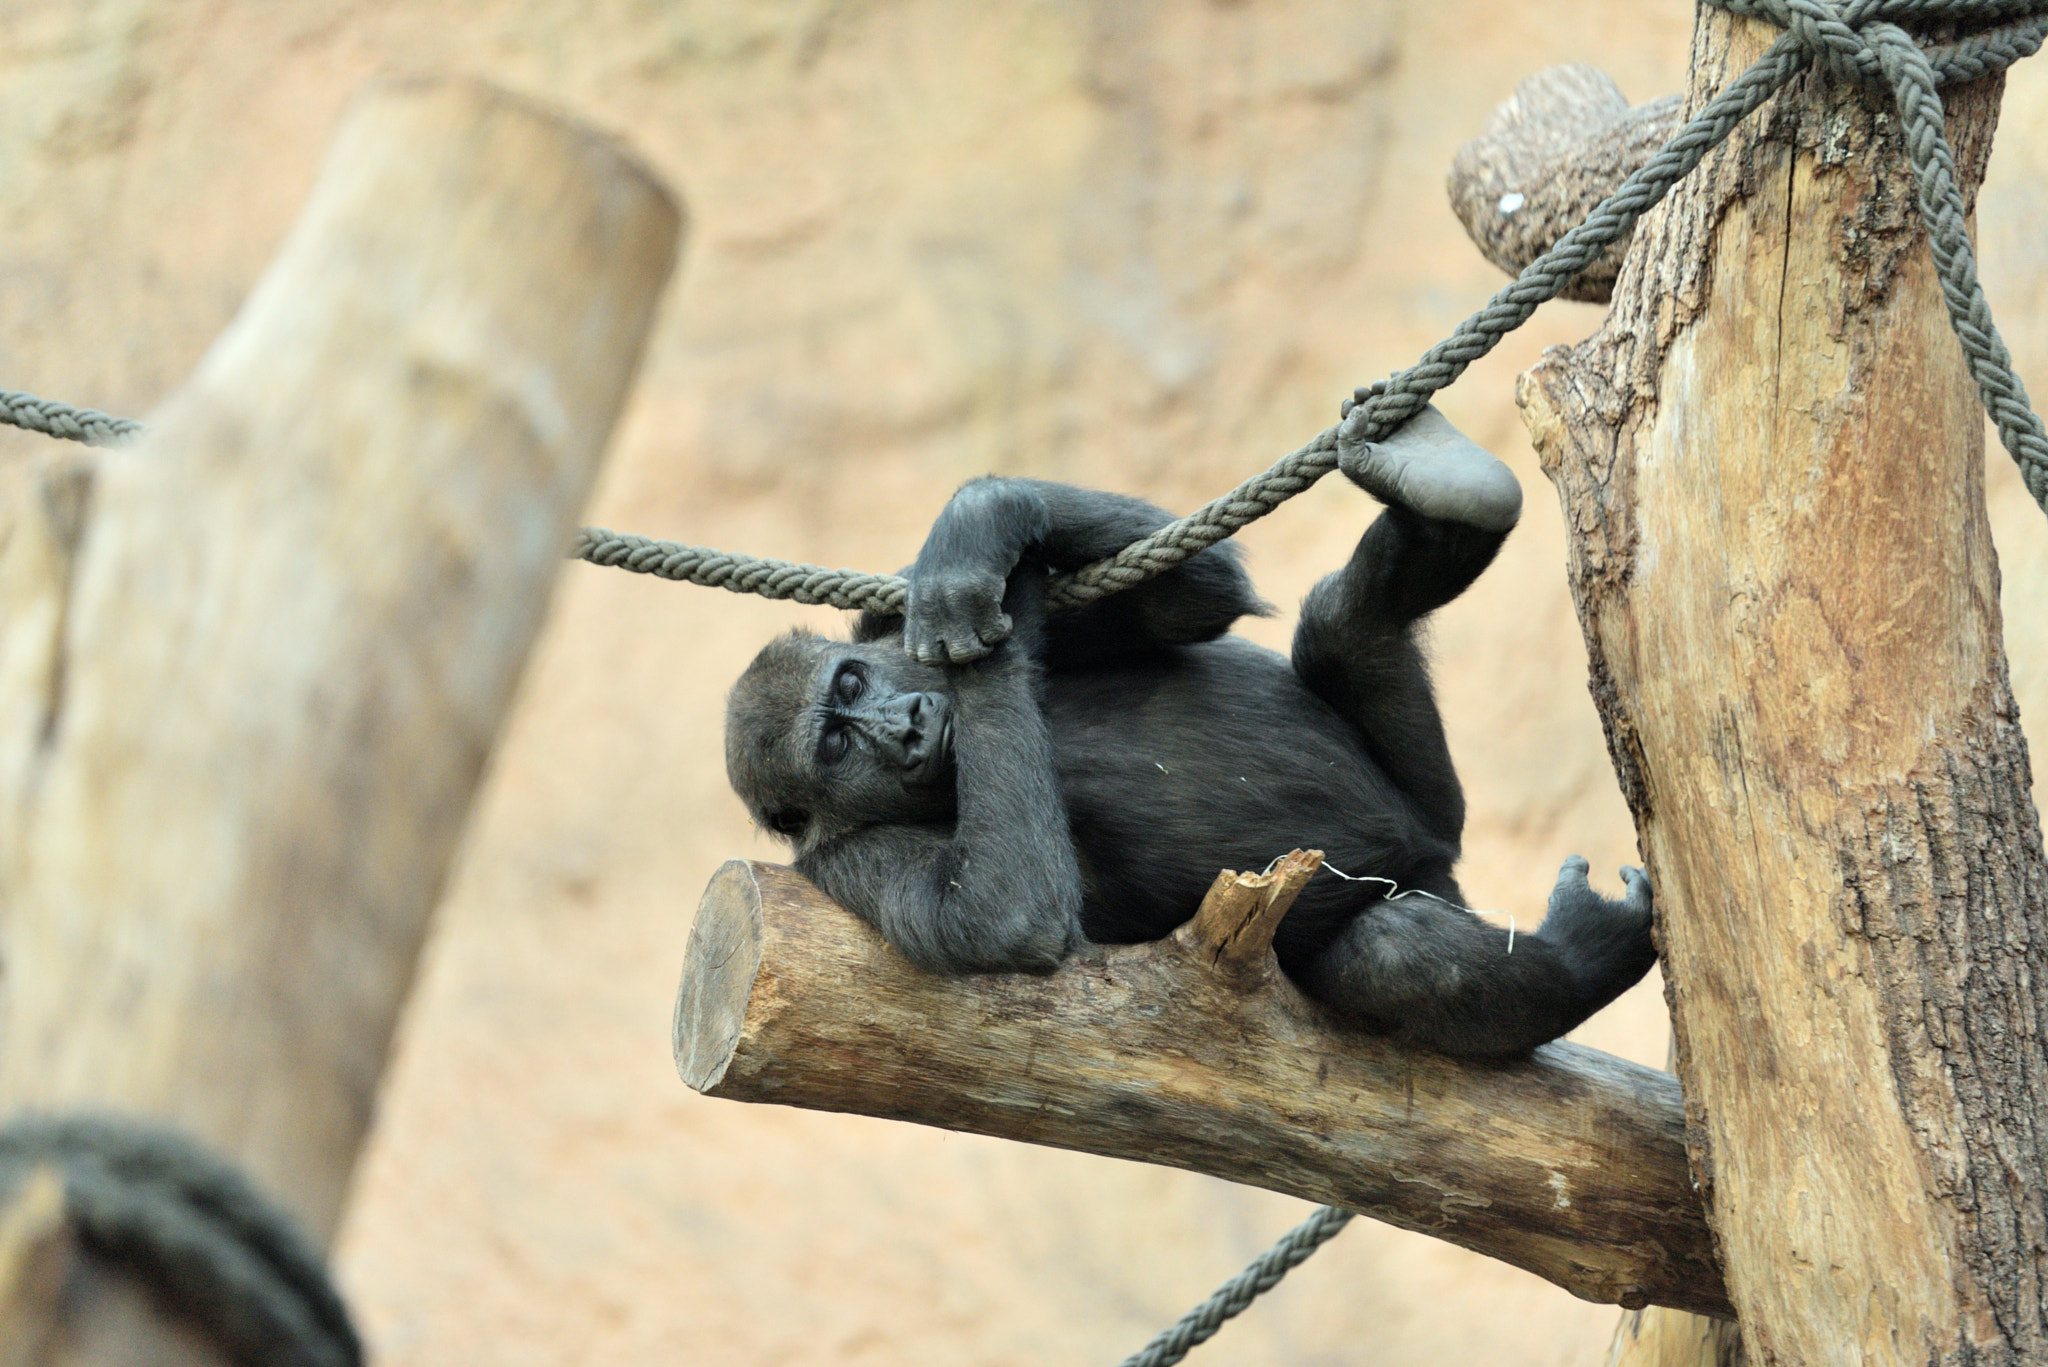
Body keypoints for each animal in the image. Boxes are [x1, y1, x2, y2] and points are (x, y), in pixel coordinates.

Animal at [724, 396, 1656, 1057]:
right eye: (837, 744)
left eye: (852, 682)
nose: (905, 725)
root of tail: (1441, 857)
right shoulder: (844, 866)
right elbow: (999, 914)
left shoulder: (903, 610)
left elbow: (1191, 597)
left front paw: (976, 537)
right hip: (1423, 859)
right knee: (1396, 953)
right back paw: (1588, 952)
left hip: (1429, 798)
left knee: (1341, 623)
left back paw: (1444, 493)